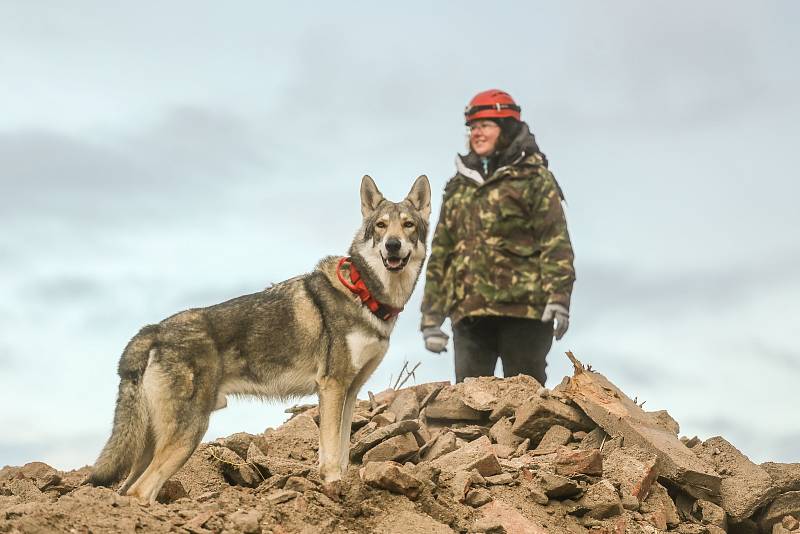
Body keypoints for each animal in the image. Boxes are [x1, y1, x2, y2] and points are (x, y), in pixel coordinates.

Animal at [87, 176, 432, 506]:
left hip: (151, 443)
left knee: (126, 490)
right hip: (189, 433)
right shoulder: (332, 386)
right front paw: (333, 486)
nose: (392, 245)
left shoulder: (350, 390)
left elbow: (342, 449)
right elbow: (332, 453)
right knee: (139, 492)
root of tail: (153, 330)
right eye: (381, 226)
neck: (365, 293)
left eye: (408, 225)